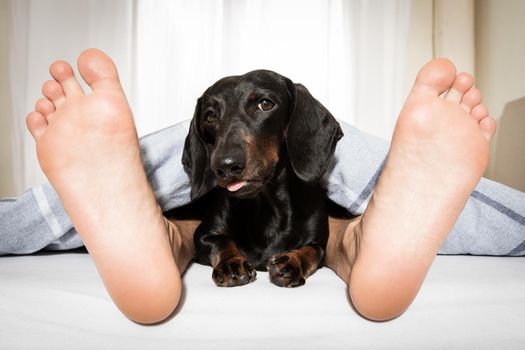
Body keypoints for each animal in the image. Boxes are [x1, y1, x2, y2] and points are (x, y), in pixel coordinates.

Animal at [182, 69, 342, 288]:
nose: (226, 165)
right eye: (210, 116)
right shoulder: (202, 236)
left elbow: (312, 251)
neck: (266, 205)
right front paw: (231, 263)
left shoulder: (319, 244)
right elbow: (222, 241)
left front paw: (291, 262)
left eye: (265, 104)